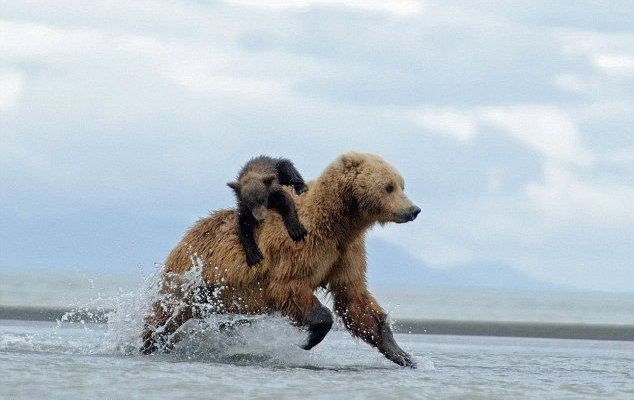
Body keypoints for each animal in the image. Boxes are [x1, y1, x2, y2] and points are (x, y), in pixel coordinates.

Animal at [142, 152, 420, 368]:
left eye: (401, 184)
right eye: (389, 186)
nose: (413, 210)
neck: (338, 223)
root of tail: (189, 233)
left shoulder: (346, 253)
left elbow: (354, 298)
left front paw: (402, 354)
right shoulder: (297, 249)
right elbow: (290, 288)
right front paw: (308, 339)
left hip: (218, 296)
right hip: (190, 278)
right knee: (163, 313)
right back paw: (148, 342)